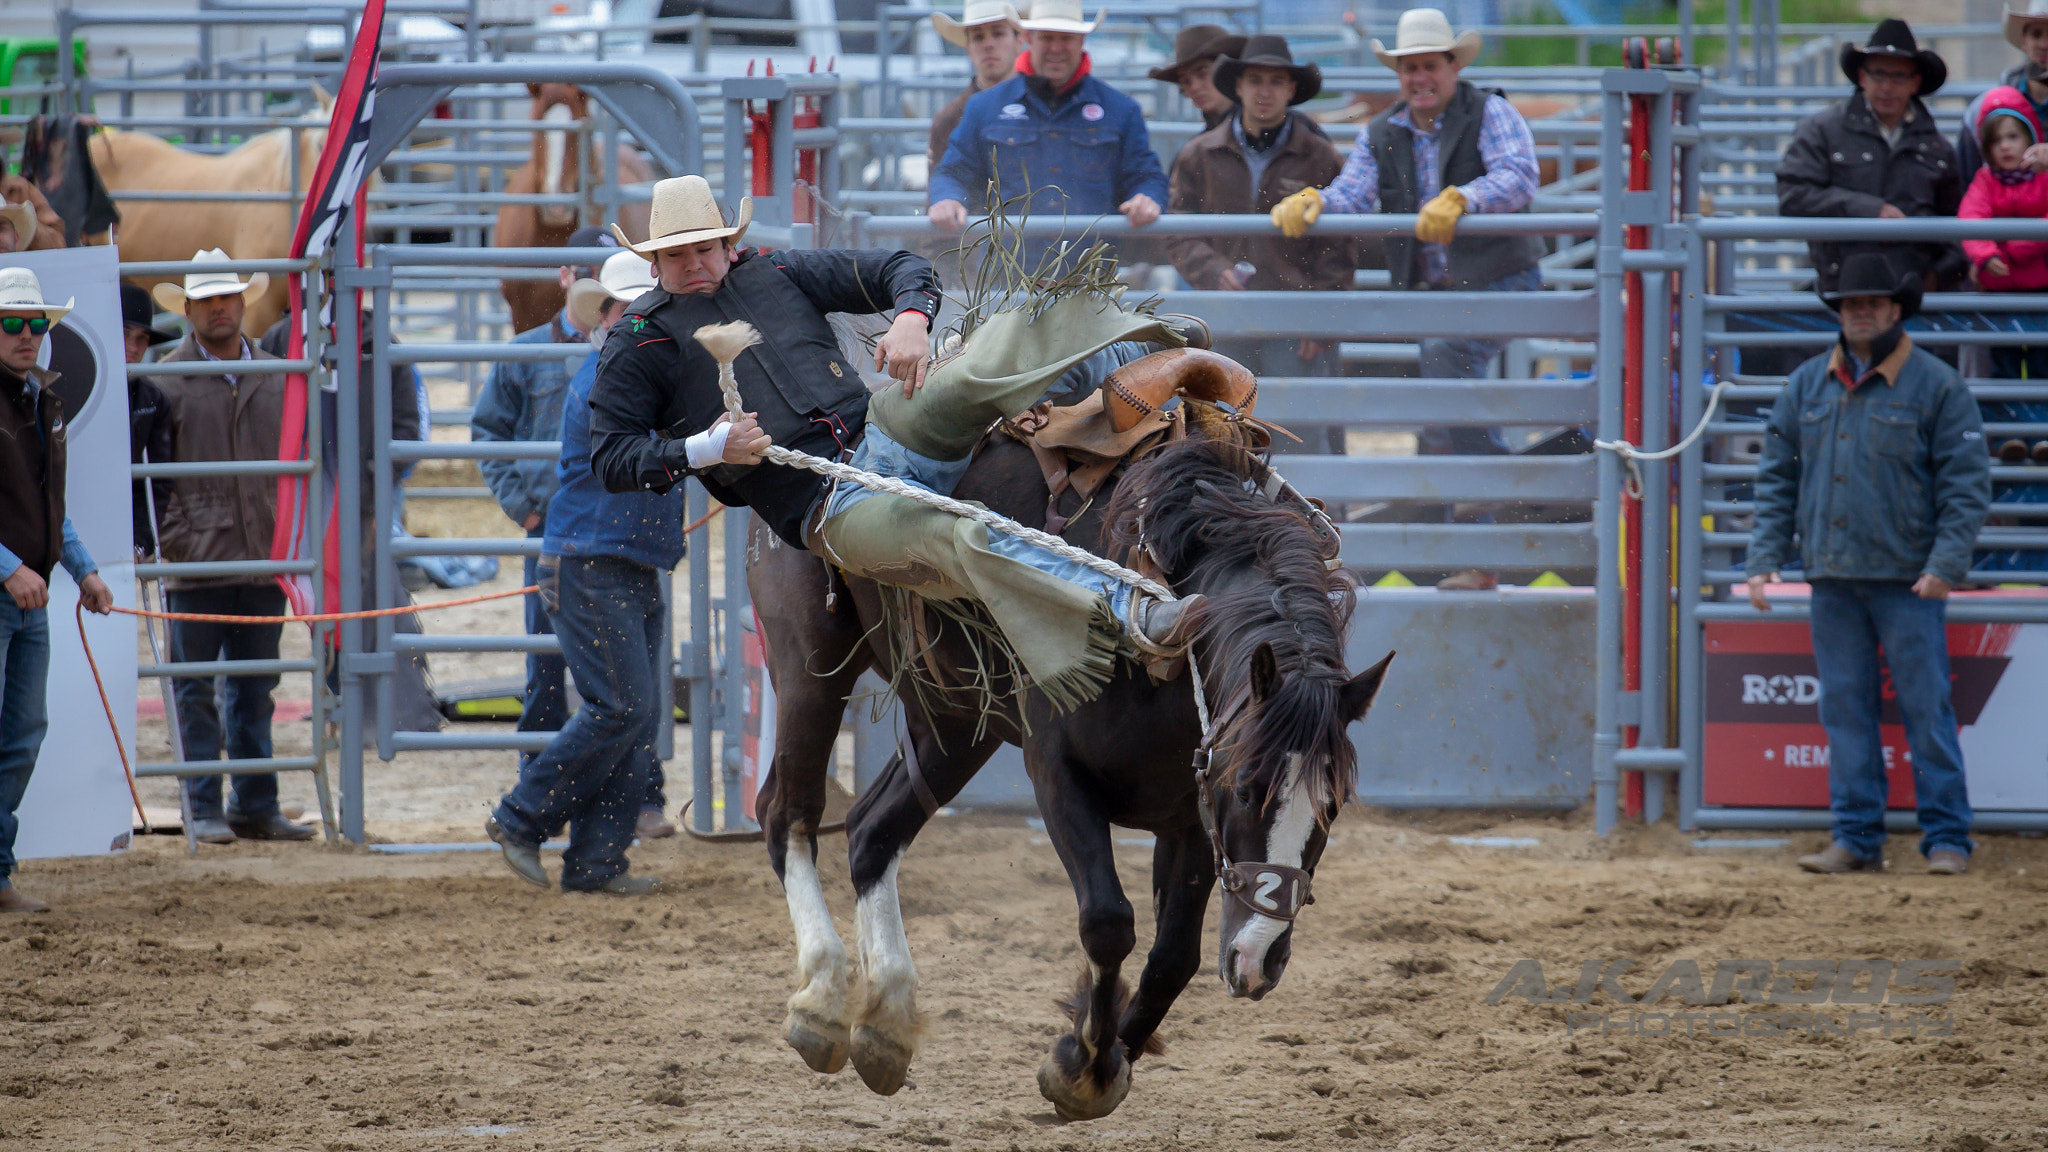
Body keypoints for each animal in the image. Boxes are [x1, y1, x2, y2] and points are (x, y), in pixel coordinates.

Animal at [749, 407, 1392, 1115]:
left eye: (1331, 807)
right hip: (810, 668)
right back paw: (822, 1002)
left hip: (955, 721)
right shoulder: (1058, 775)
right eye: (1248, 788)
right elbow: (1108, 923)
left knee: (871, 830)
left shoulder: (1192, 817)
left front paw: (1110, 1057)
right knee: (787, 812)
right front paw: (1082, 1067)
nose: (1260, 959)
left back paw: (886, 1022)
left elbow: (1174, 956)